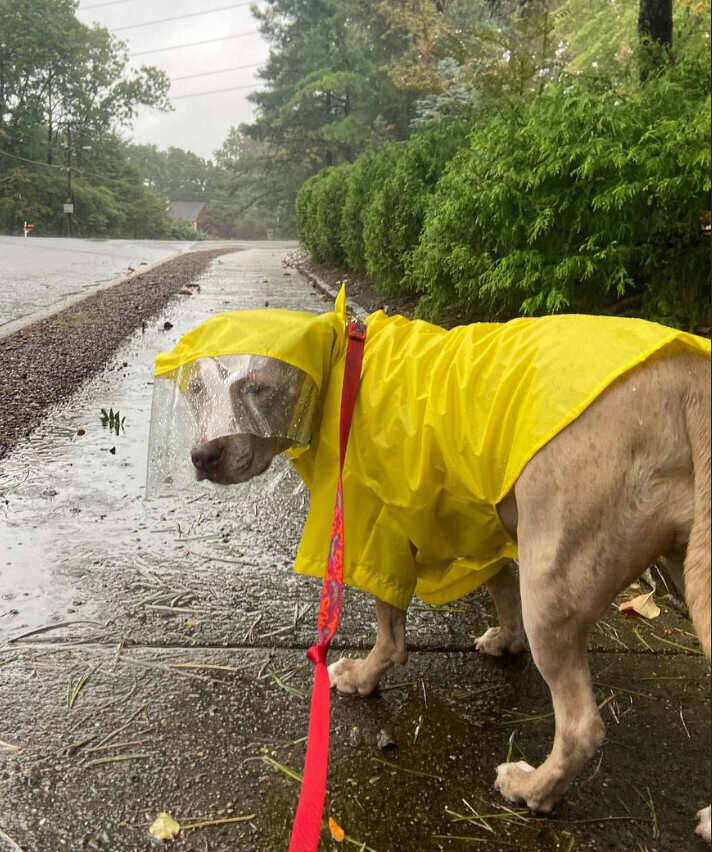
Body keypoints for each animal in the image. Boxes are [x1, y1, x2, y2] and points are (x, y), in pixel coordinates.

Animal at [185, 310, 712, 844]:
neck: (342, 368)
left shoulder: (382, 529)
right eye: (196, 387)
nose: (203, 456)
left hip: (553, 580)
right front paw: (506, 638)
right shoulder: (476, 521)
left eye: (258, 386)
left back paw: (534, 789)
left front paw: (364, 675)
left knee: (581, 724)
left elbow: (389, 626)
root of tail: (689, 381)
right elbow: (499, 583)